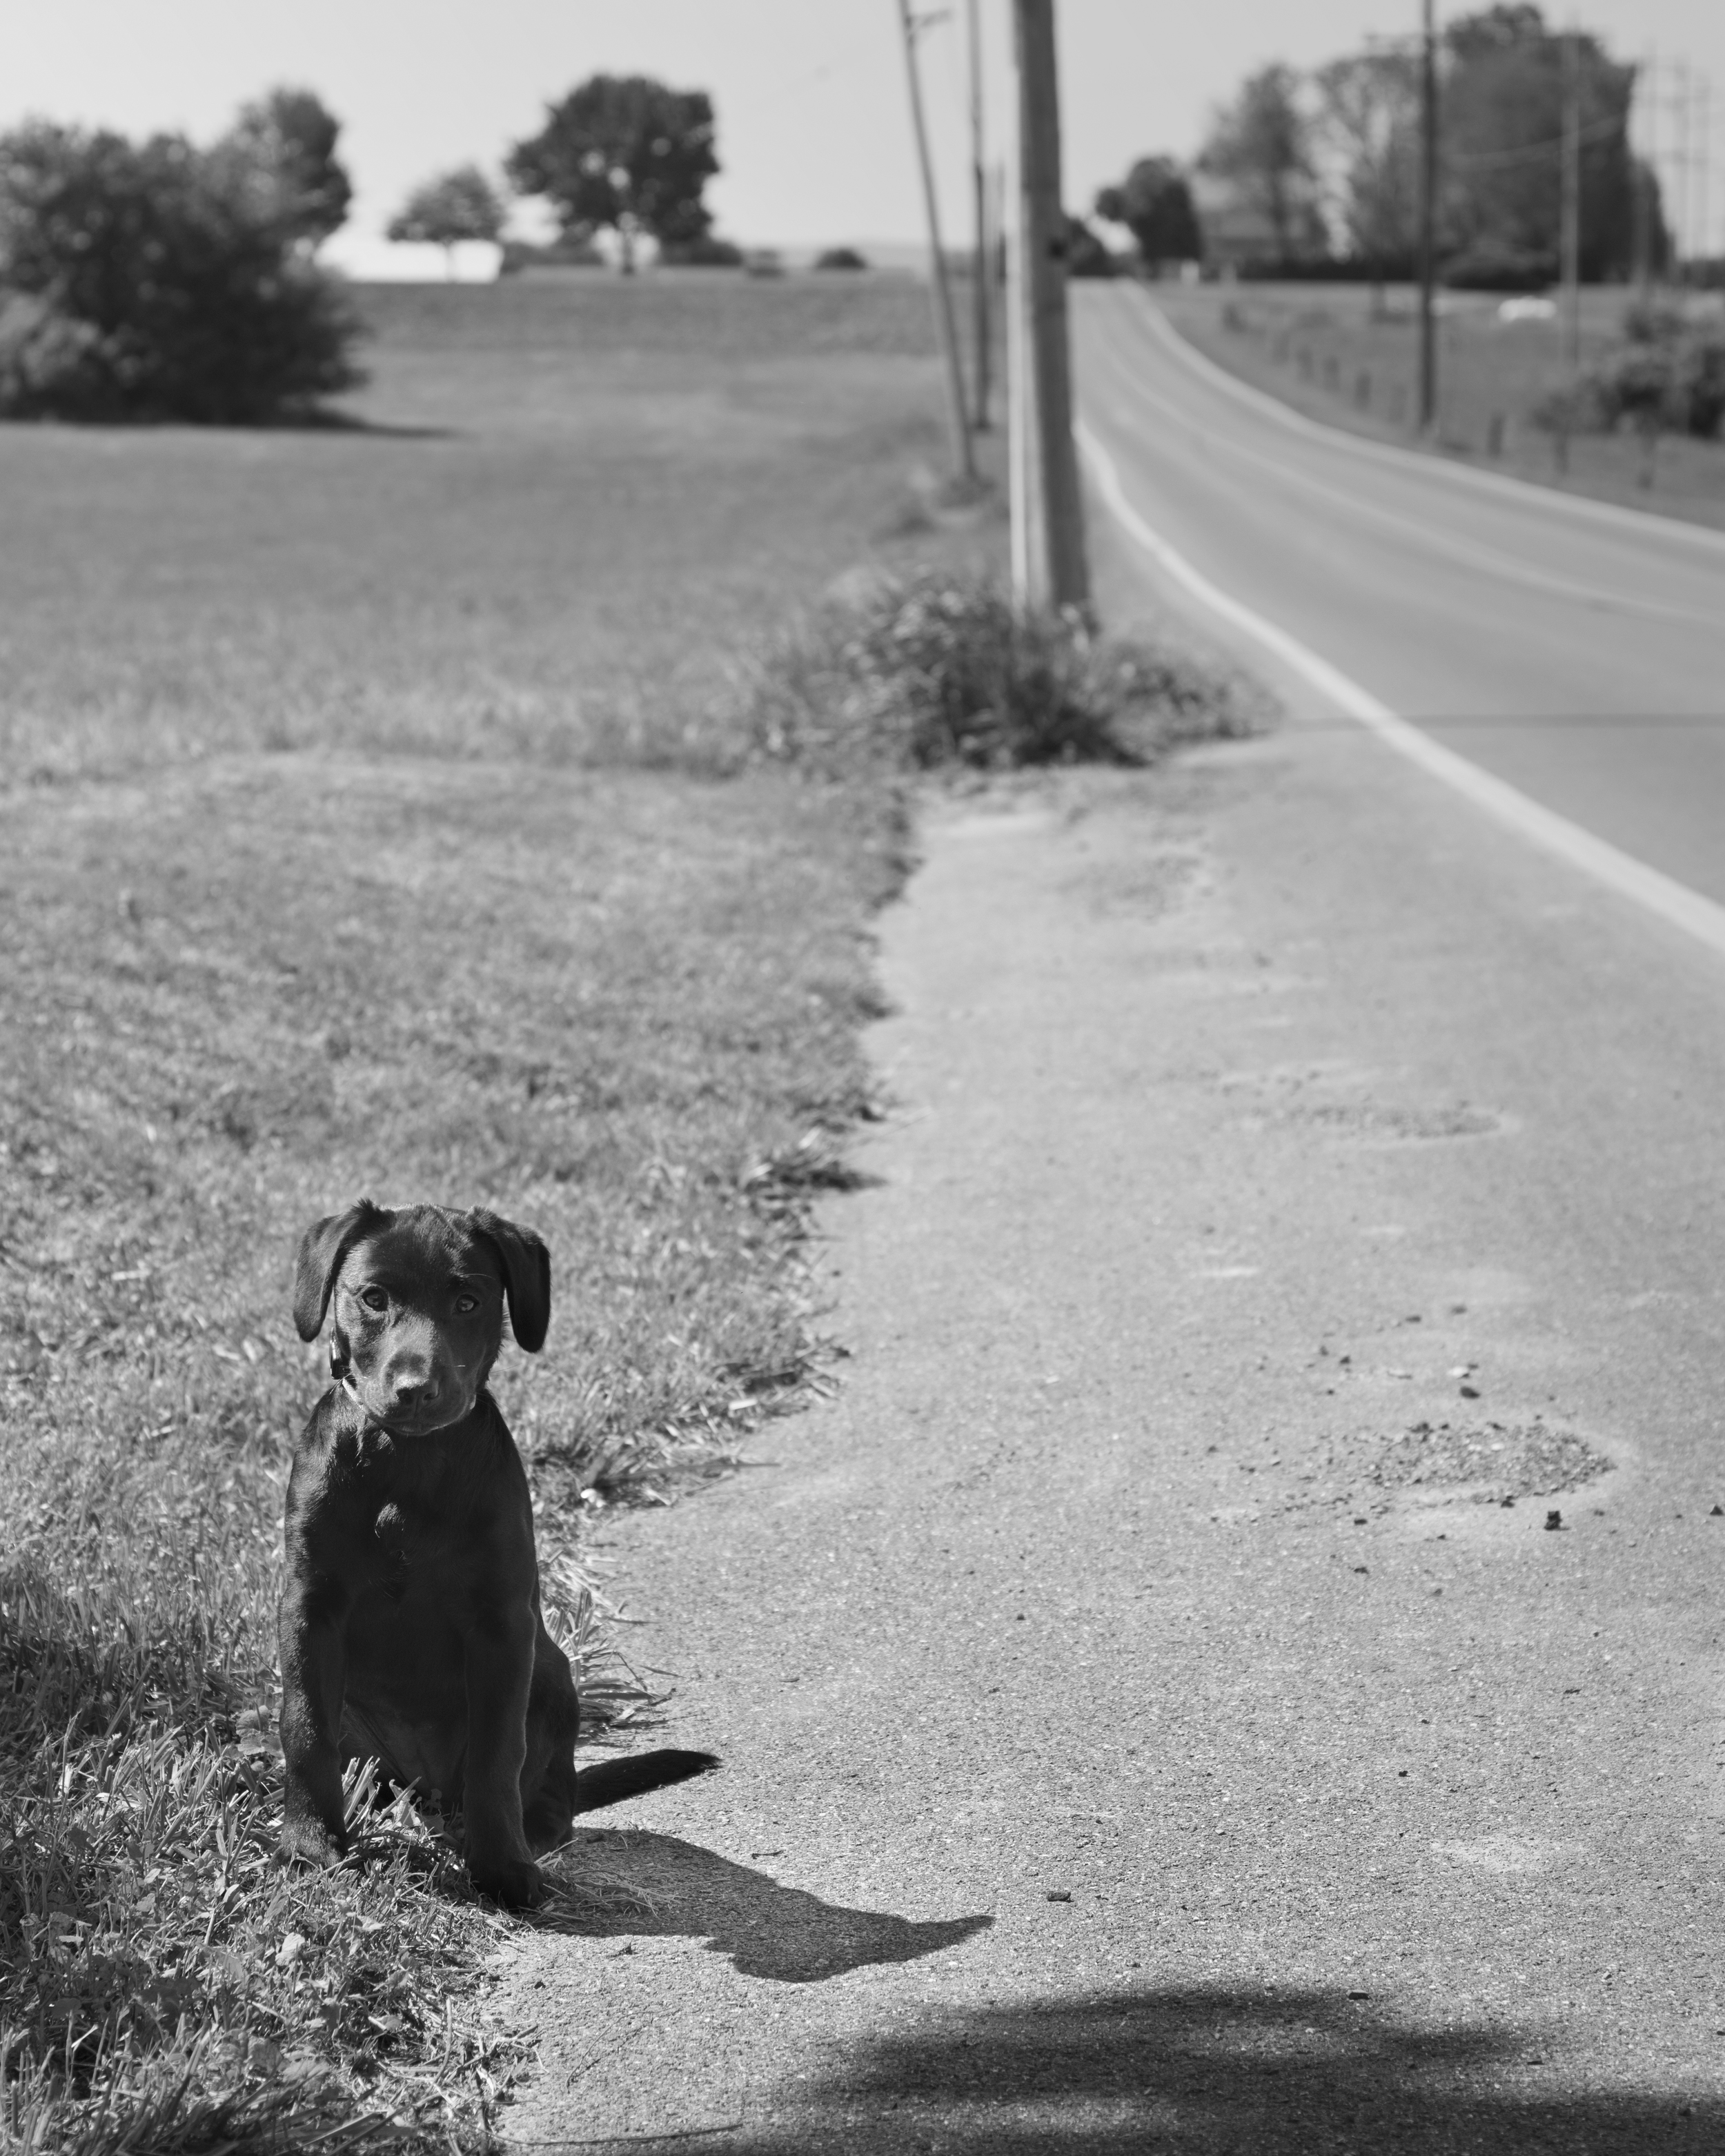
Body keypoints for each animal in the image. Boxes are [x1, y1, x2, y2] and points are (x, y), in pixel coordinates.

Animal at [280, 1207, 711, 1915]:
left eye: (468, 1301)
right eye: (374, 1297)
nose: (416, 1390)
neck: (407, 1461)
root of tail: (429, 1791)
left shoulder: (501, 1622)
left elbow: (496, 1751)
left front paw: (501, 1864)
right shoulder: (309, 1607)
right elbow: (305, 1728)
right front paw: (311, 1843)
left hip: (554, 1674)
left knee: (552, 1795)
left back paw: (522, 1834)